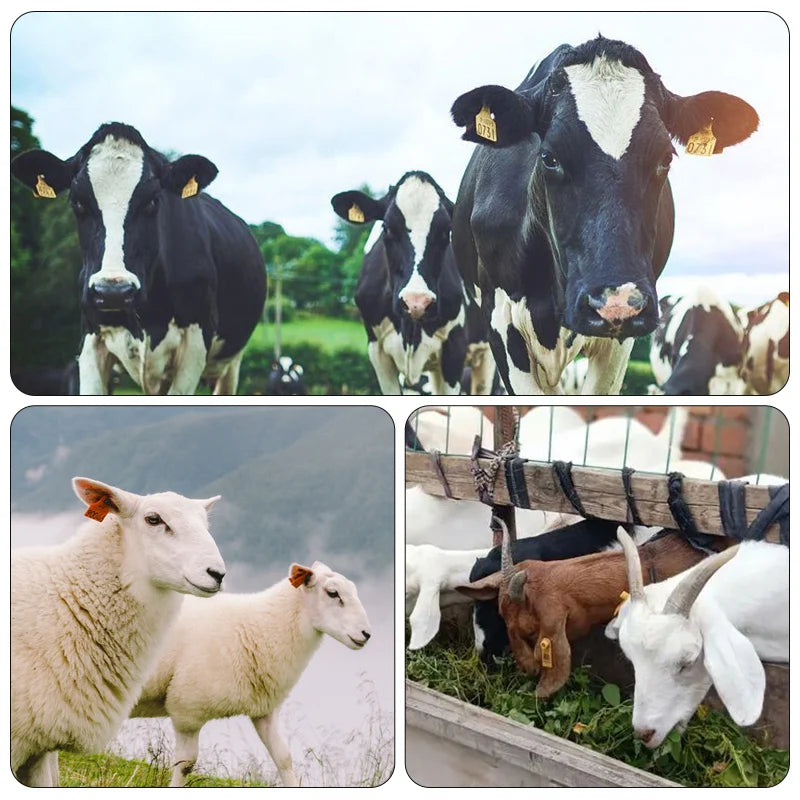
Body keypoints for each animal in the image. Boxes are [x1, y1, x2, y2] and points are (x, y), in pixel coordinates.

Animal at [11, 122, 266, 395]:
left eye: (153, 200)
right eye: (77, 202)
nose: (113, 292)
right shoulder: (91, 338)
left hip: (231, 361)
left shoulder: (197, 341)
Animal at [130, 560, 372, 787]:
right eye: (333, 593)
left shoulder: (265, 710)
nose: (367, 634)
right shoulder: (187, 711)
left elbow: (284, 758)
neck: (258, 626)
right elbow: (185, 765)